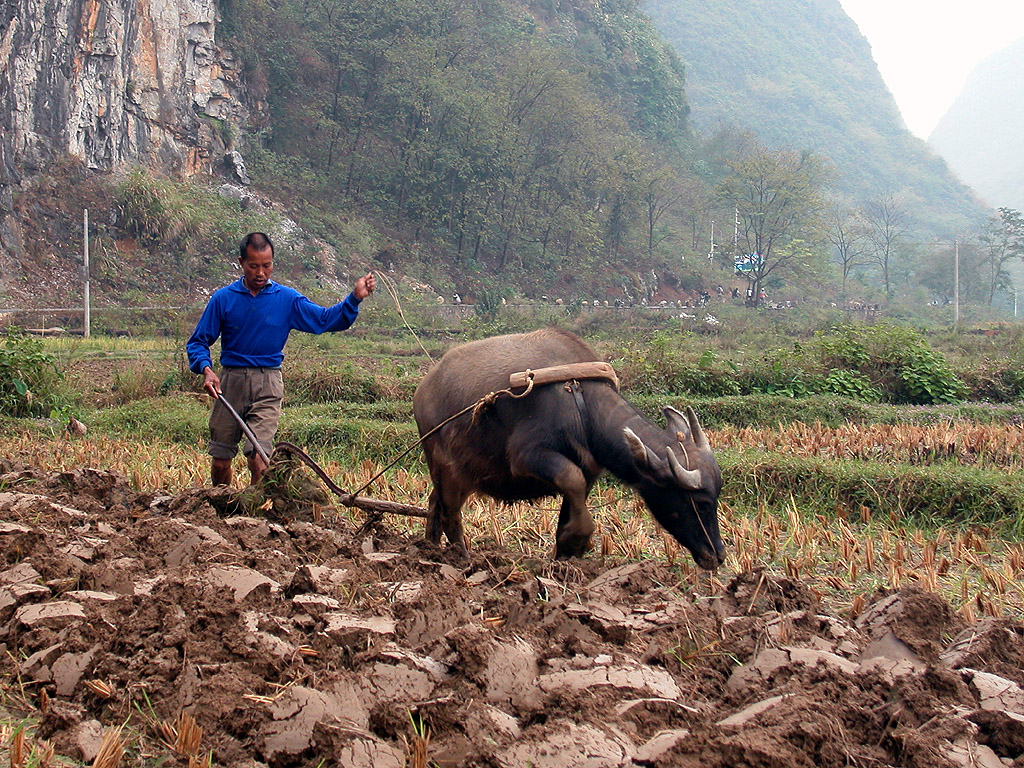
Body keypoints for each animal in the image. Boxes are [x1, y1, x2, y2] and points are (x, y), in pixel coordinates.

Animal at [411, 327, 724, 569]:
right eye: (702, 503)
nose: (717, 556)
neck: (580, 402)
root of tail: (423, 389)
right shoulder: (526, 456)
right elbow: (571, 479)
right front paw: (578, 538)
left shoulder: (589, 470)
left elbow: (573, 499)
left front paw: (565, 554)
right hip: (447, 467)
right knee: (451, 515)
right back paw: (461, 557)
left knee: (434, 504)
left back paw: (429, 548)